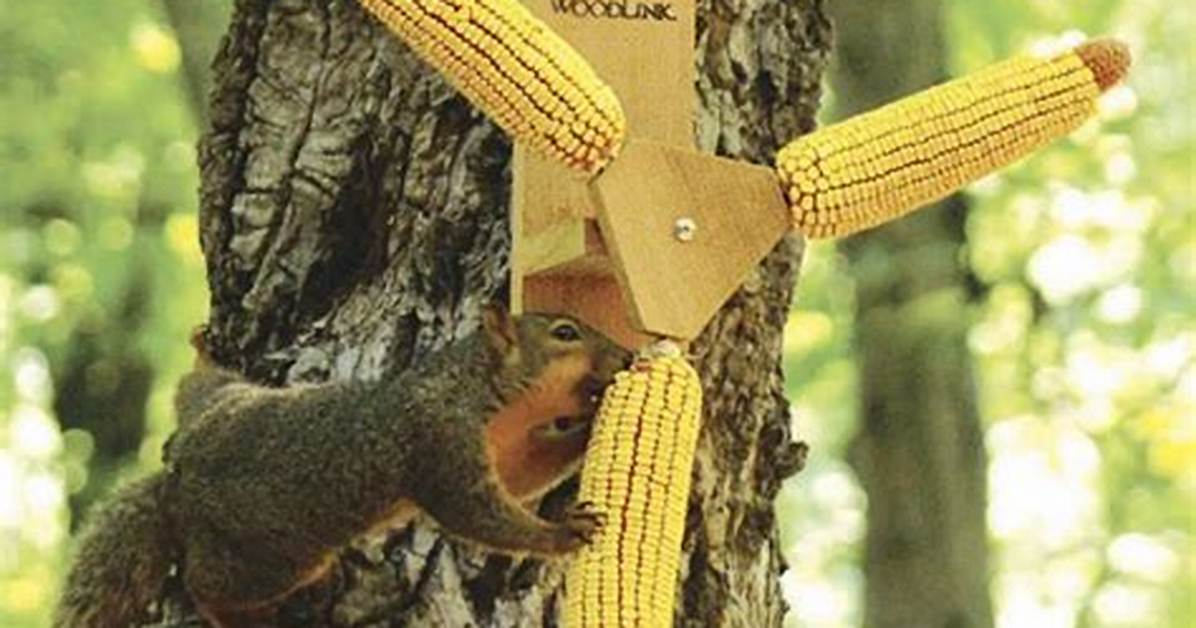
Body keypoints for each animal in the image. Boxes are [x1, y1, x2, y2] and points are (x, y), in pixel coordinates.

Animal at [54, 306, 631, 627]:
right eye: (565, 333)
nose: (626, 356)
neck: (488, 391)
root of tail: (176, 481)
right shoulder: (439, 441)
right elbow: (478, 514)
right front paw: (563, 532)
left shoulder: (504, 448)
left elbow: (526, 473)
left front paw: (594, 420)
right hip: (267, 557)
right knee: (206, 584)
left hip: (224, 400)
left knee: (196, 386)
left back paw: (203, 356)